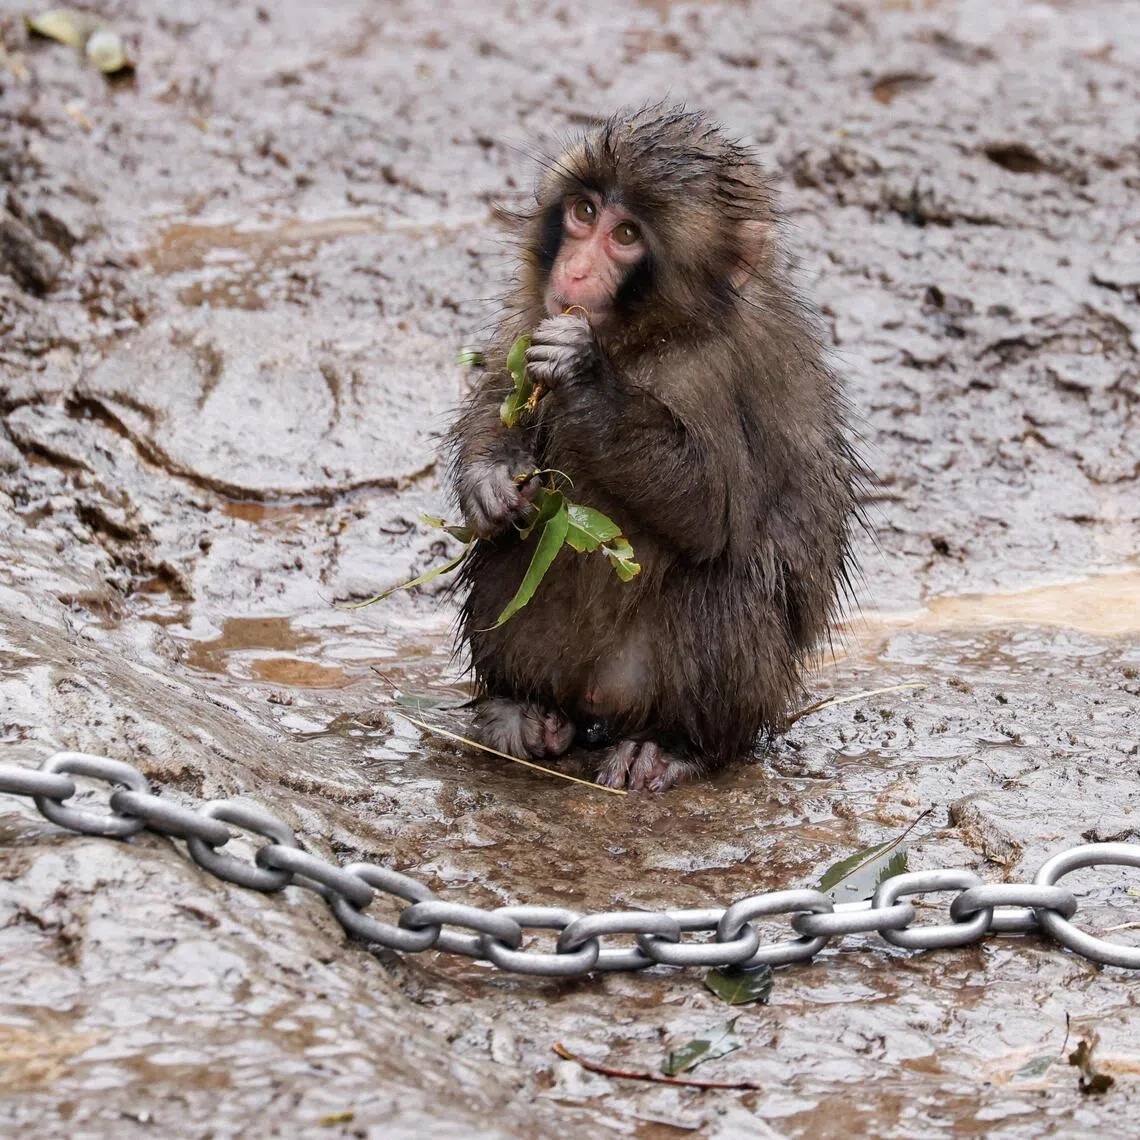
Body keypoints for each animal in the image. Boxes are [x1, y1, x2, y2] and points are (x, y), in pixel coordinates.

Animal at [447, 104, 860, 791]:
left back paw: (673, 744)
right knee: (520, 541)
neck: (646, 337)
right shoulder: (536, 310)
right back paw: (521, 706)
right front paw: (489, 480)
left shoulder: (715, 373)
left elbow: (713, 511)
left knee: (721, 585)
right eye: (584, 212)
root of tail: (596, 702)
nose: (575, 272)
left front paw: (586, 379)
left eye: (625, 235)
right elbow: (504, 395)